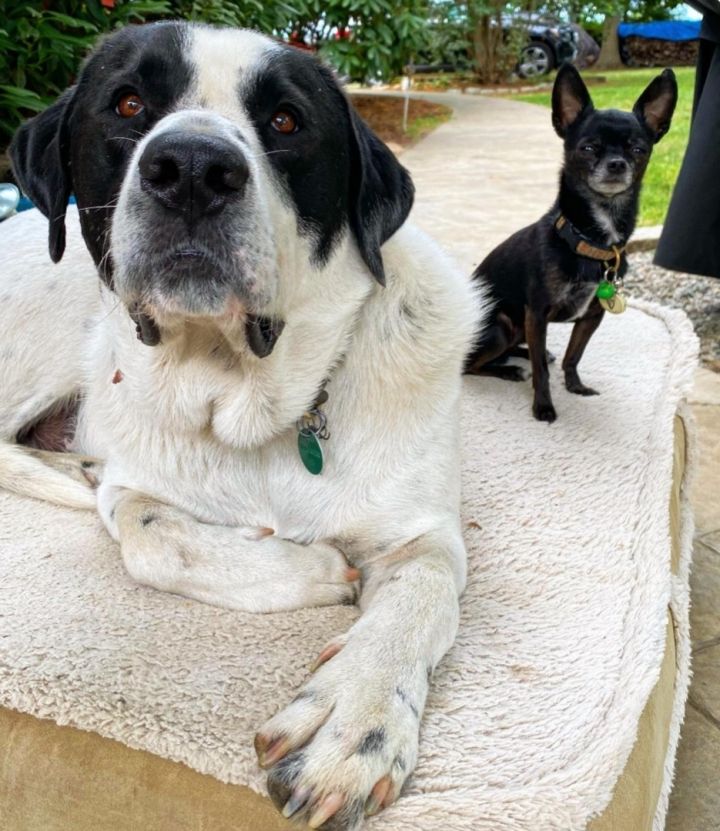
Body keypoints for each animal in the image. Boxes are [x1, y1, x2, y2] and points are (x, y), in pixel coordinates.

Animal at [2, 22, 484, 828]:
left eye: (286, 121)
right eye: (127, 103)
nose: (192, 170)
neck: (244, 403)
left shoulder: (422, 533)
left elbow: (421, 594)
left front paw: (354, 717)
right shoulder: (136, 482)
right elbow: (151, 537)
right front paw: (313, 568)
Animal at [464, 65, 676, 422]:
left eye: (638, 149)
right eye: (588, 148)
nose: (617, 164)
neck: (589, 241)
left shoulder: (591, 317)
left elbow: (572, 356)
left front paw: (575, 386)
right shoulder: (537, 314)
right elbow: (540, 371)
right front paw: (543, 406)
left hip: (517, 326)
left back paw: (522, 355)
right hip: (502, 325)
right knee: (471, 365)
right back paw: (508, 369)